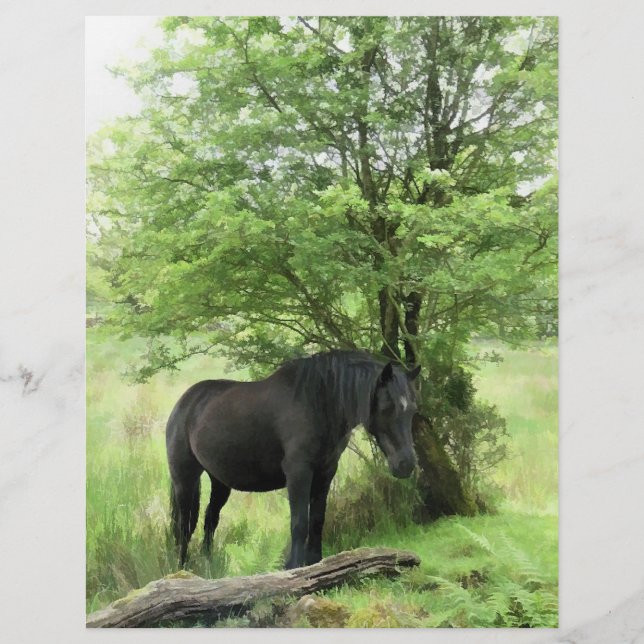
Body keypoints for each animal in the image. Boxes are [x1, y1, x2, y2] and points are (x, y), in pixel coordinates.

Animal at [165, 349, 421, 569]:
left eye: (412, 409)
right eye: (387, 407)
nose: (406, 464)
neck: (318, 404)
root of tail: (184, 402)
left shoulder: (326, 472)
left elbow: (317, 520)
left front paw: (315, 562)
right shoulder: (299, 472)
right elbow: (299, 523)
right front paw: (293, 567)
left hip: (219, 481)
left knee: (210, 520)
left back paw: (208, 566)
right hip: (184, 479)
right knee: (184, 526)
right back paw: (182, 569)